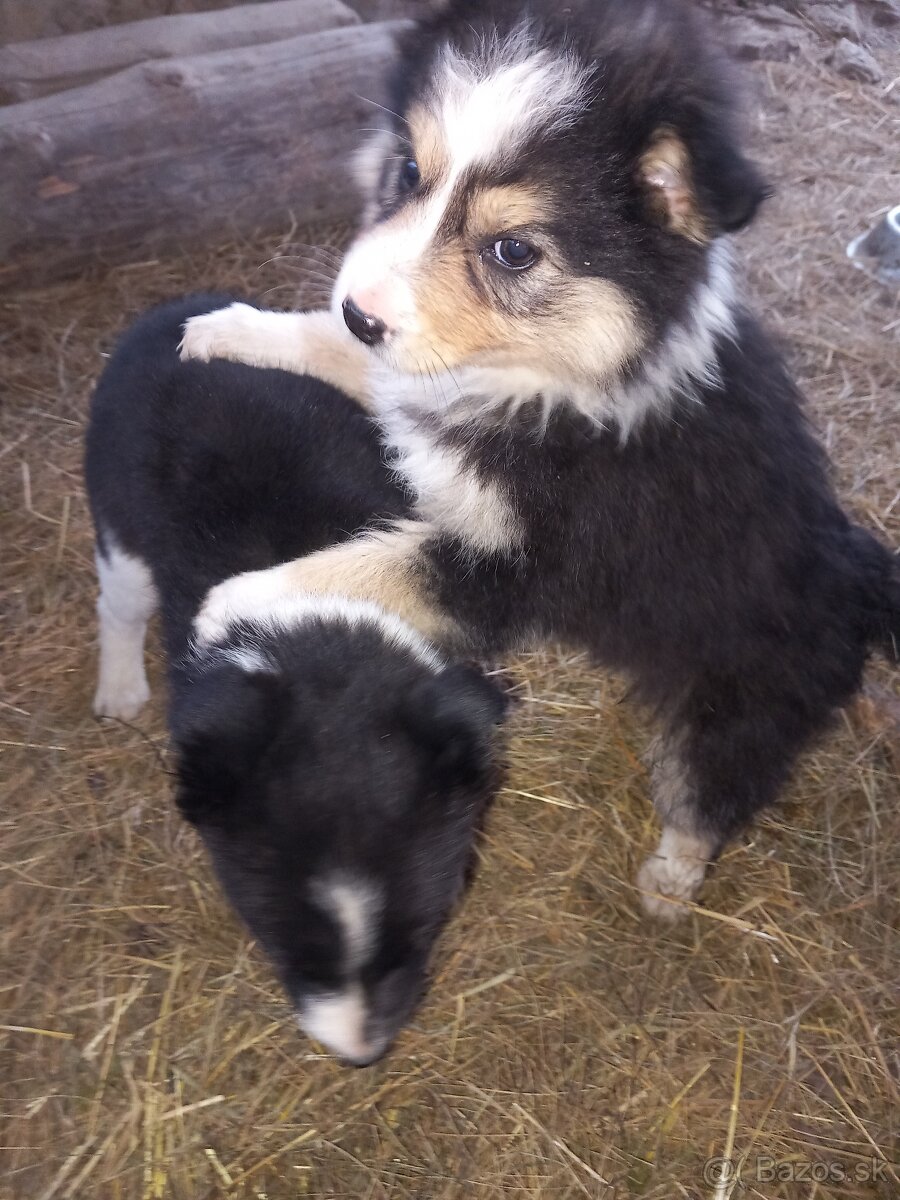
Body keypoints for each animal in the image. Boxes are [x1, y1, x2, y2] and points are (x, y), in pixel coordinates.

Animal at [84, 295, 508, 1065]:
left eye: (425, 928)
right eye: (286, 946)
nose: (363, 1056)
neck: (317, 645)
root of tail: (171, 309)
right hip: (117, 519)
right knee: (120, 602)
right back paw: (121, 690)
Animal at [180, 2, 897, 916]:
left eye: (513, 251)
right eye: (407, 170)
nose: (361, 312)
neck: (550, 383)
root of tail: (864, 575)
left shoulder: (517, 564)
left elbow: (360, 567)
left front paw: (231, 604)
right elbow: (336, 355)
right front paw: (231, 329)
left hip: (742, 695)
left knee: (712, 789)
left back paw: (671, 882)